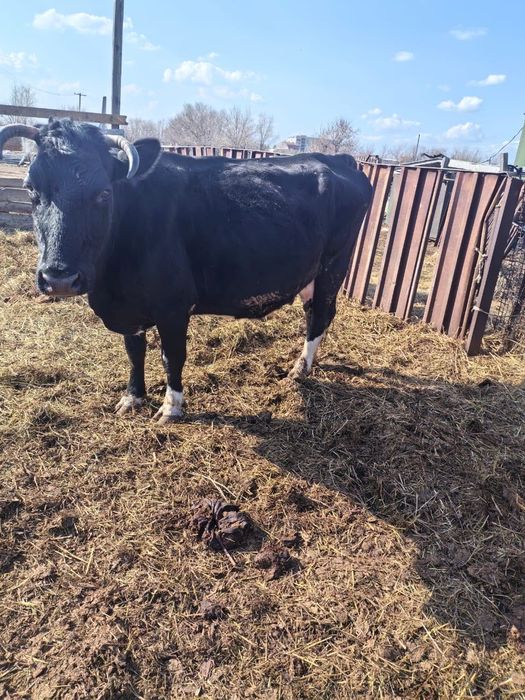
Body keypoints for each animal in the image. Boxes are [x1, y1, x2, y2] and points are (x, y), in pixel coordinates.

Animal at [0, 119, 372, 423]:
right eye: (31, 189)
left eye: (104, 192)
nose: (59, 278)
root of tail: (338, 159)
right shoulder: (130, 309)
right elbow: (134, 353)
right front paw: (132, 399)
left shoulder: (173, 306)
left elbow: (172, 357)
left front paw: (171, 407)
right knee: (313, 313)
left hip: (333, 265)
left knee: (320, 314)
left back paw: (299, 369)